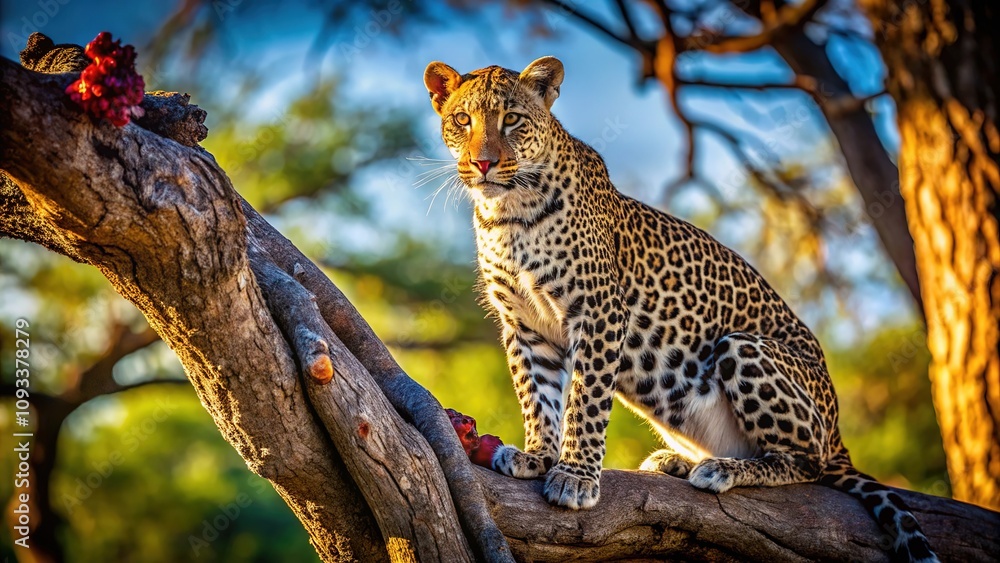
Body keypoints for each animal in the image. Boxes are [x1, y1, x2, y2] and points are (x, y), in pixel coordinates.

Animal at [423, 56, 939, 562]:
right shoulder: (524, 325)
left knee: (807, 462)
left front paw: (575, 475)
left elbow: (585, 400)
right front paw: (537, 455)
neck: (507, 214)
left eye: (511, 119)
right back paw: (677, 460)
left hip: (746, 349)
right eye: (463, 120)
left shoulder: (598, 311)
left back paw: (723, 469)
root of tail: (839, 437)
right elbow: (537, 395)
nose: (483, 163)